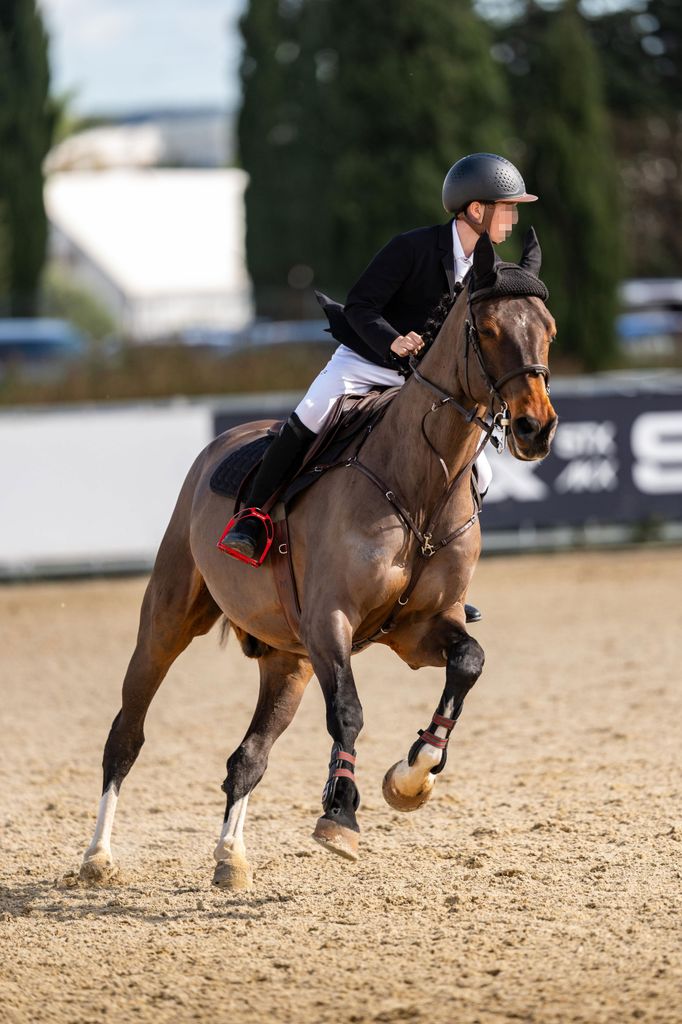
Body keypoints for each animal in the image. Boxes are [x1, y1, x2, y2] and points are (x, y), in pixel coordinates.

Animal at [80, 232, 557, 888]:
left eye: (549, 330)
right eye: (486, 329)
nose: (537, 429)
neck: (420, 486)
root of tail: (222, 443)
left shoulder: (418, 630)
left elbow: (469, 663)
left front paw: (413, 776)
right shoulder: (332, 621)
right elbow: (349, 713)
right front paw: (341, 815)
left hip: (290, 660)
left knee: (248, 758)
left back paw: (231, 857)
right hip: (167, 623)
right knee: (126, 735)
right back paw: (97, 856)